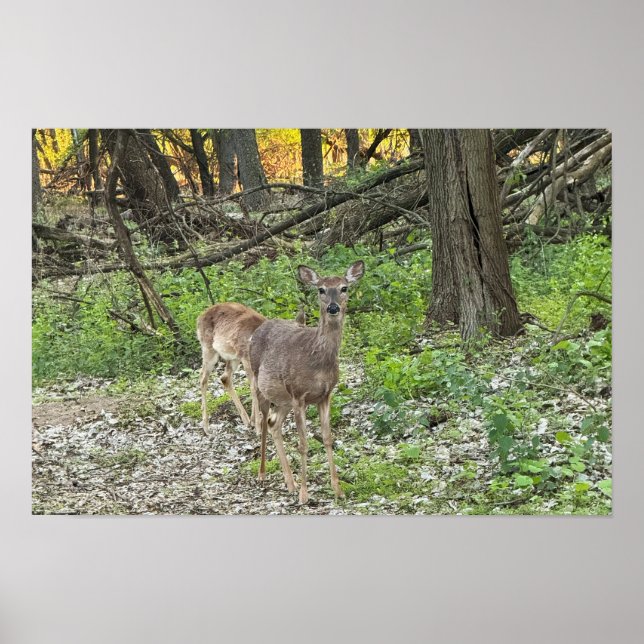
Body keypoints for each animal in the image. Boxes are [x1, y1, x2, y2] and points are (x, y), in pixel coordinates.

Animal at [249, 260, 365, 504]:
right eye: (321, 289)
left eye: (344, 288)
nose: (333, 308)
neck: (317, 360)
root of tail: (260, 327)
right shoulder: (298, 394)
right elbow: (303, 444)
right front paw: (304, 494)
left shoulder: (325, 395)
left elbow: (328, 438)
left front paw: (337, 489)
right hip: (260, 384)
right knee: (263, 423)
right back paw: (263, 474)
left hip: (283, 400)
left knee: (274, 425)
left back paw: (290, 483)